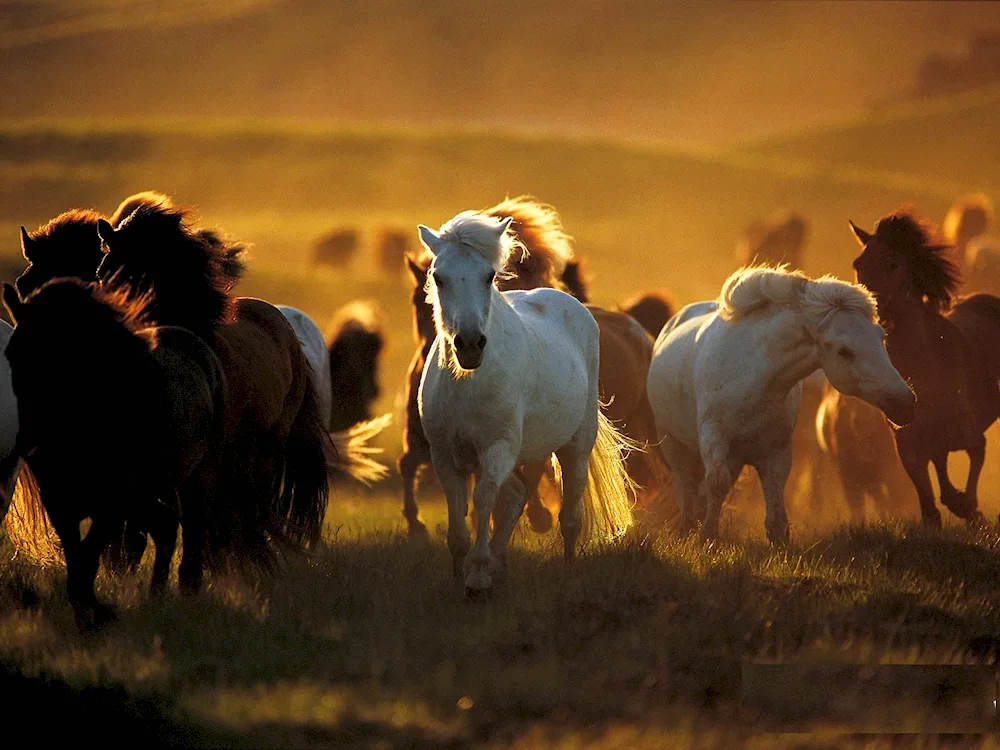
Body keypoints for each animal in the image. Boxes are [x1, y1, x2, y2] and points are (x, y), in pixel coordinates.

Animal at [2, 280, 226, 632]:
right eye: (13, 354)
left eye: (64, 354)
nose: (29, 440)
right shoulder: (60, 502)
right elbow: (77, 560)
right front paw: (90, 614)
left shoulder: (112, 503)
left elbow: (89, 558)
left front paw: (95, 618)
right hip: (151, 489)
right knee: (165, 523)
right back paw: (156, 596)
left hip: (197, 477)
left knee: (190, 528)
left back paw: (186, 592)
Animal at [414, 210, 632, 592]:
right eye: (439, 277)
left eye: (489, 276)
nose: (470, 344)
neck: (467, 384)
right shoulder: (445, 456)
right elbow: (459, 521)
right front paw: (461, 574)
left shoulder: (496, 449)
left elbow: (484, 498)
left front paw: (478, 576)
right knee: (518, 494)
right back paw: (501, 562)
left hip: (576, 446)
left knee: (569, 517)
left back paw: (567, 570)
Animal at [648, 268, 916, 544]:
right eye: (844, 351)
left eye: (880, 336)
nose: (905, 402)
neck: (754, 378)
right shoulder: (714, 438)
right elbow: (716, 484)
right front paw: (707, 536)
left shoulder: (777, 448)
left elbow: (774, 492)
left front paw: (779, 541)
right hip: (672, 442)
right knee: (685, 486)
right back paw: (687, 526)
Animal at [848, 209, 1000, 528]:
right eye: (858, 264)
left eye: (893, 264)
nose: (870, 314)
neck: (926, 364)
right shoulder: (908, 445)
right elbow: (930, 504)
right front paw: (957, 506)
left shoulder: (969, 434)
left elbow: (975, 456)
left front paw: (971, 509)